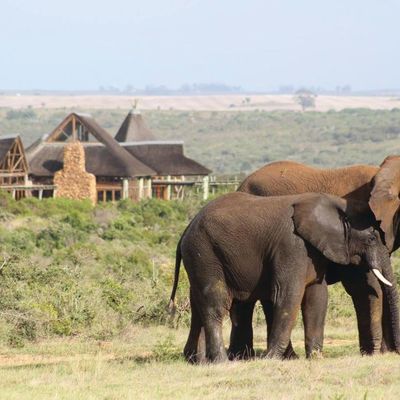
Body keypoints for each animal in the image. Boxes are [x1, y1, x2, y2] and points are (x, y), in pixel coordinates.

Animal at [170, 191, 394, 362]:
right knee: (215, 304)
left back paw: (198, 362)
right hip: (205, 252)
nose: (375, 354)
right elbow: (288, 295)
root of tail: (185, 231)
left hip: (201, 258)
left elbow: (317, 297)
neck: (333, 203)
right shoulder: (292, 246)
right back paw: (221, 362)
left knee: (198, 304)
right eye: (372, 238)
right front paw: (271, 359)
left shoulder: (313, 251)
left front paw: (315, 358)